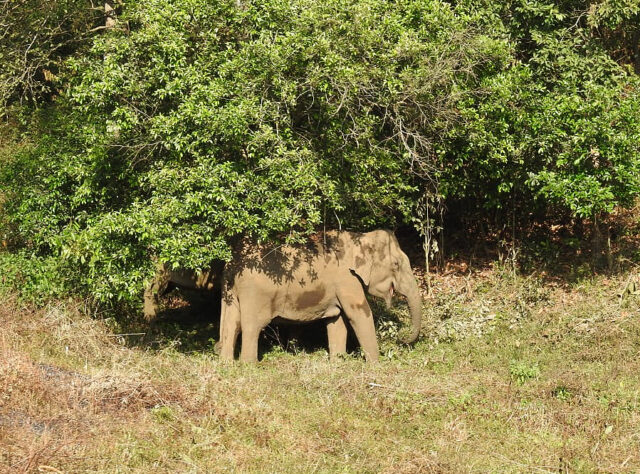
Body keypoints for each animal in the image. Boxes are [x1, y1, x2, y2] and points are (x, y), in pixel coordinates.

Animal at [218, 230, 422, 362]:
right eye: (396, 264)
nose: (402, 338)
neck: (360, 237)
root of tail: (234, 261)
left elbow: (337, 321)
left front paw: (338, 363)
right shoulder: (346, 279)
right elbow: (359, 314)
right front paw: (376, 365)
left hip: (231, 291)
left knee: (231, 322)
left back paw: (227, 364)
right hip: (255, 293)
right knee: (252, 326)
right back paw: (249, 365)